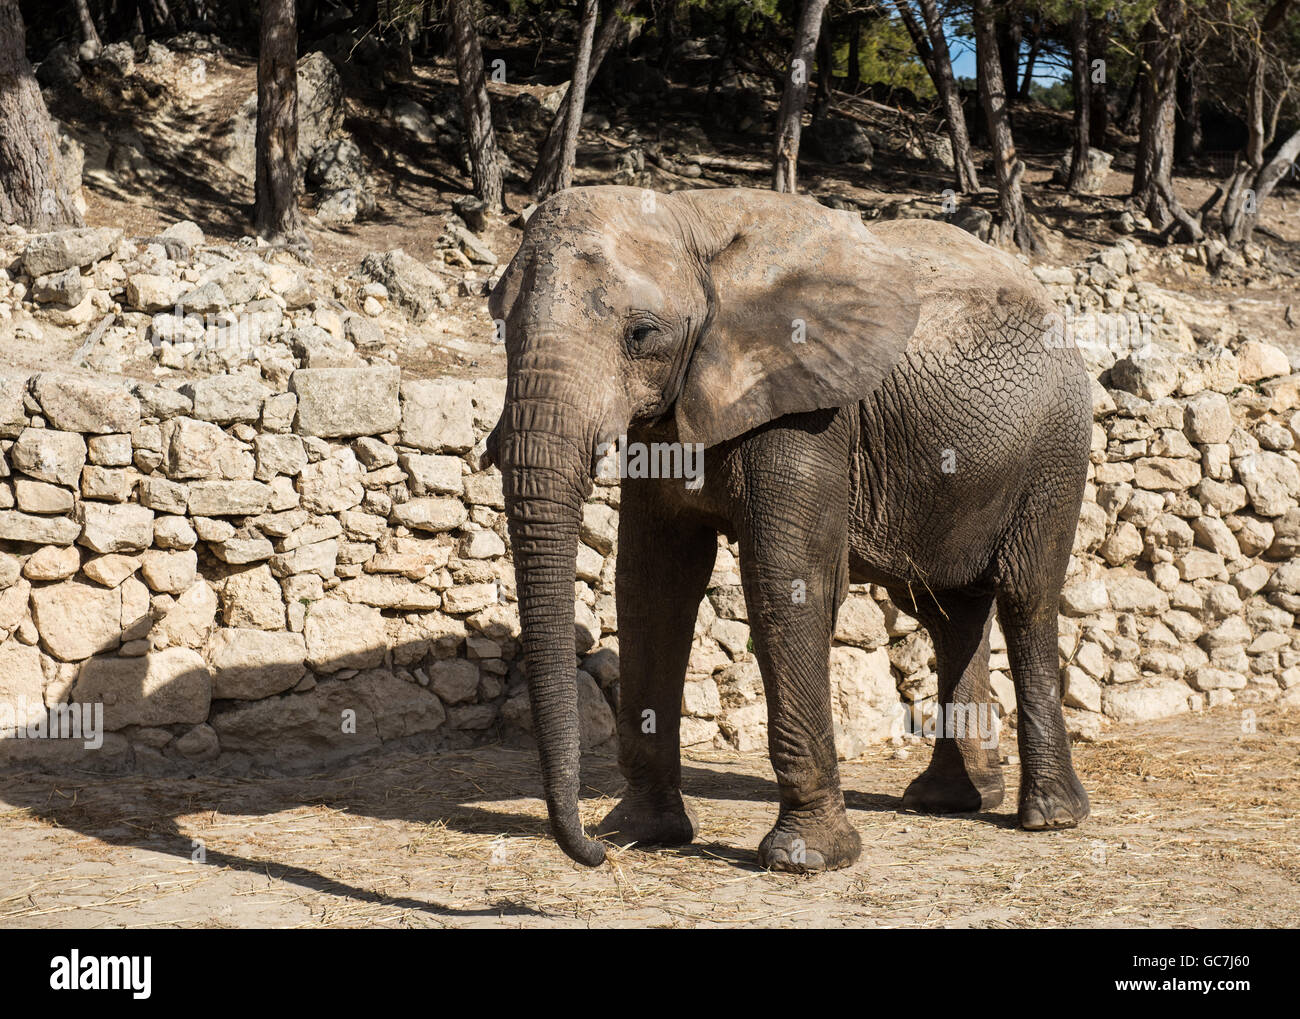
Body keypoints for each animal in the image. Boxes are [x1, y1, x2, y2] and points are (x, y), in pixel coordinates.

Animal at [484, 185, 1092, 872]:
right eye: (499, 324)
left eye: (640, 334)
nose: (592, 851)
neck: (692, 220)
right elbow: (651, 583)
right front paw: (641, 833)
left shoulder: (810, 409)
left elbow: (786, 580)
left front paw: (804, 859)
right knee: (946, 611)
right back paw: (946, 800)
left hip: (1055, 448)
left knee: (1026, 596)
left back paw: (1049, 817)